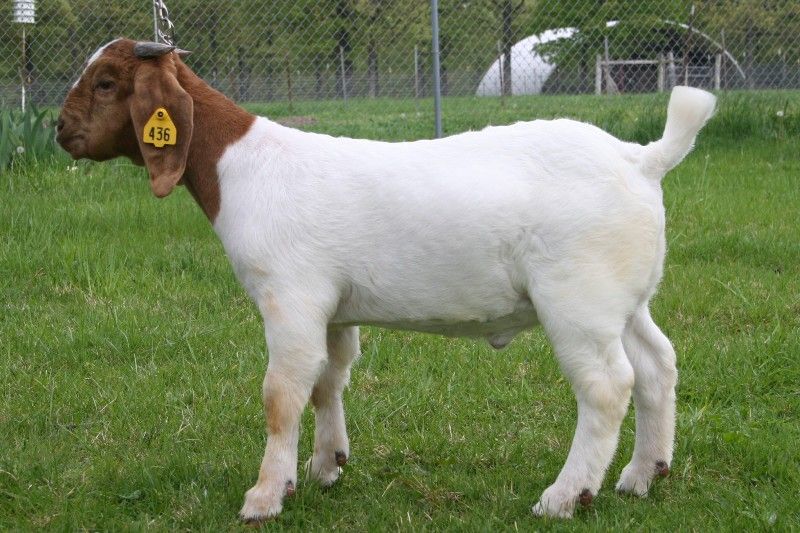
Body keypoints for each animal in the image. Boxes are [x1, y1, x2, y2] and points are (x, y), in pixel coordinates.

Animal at [57, 39, 716, 520]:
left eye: (107, 82)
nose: (61, 130)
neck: (239, 164)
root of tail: (643, 160)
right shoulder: (332, 309)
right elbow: (327, 380)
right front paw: (325, 466)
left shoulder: (289, 297)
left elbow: (282, 393)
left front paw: (265, 496)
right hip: (622, 301)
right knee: (656, 365)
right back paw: (643, 474)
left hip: (577, 300)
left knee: (606, 386)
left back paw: (565, 496)